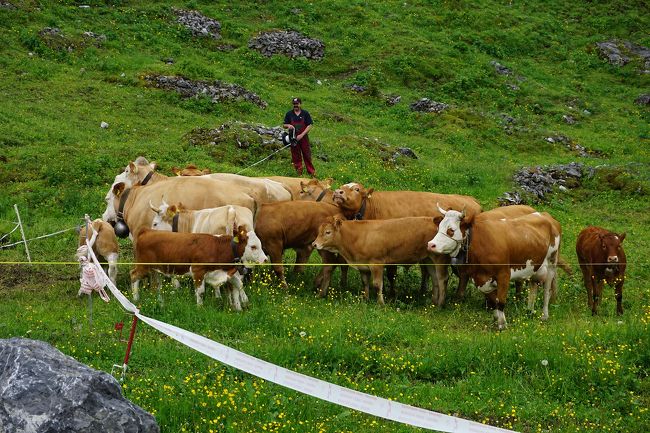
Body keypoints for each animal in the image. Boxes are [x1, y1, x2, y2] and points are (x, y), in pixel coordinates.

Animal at [310, 216, 446, 304]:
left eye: (328, 232)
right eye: (318, 231)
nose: (314, 244)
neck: (358, 236)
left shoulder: (377, 263)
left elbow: (377, 284)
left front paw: (381, 303)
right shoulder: (363, 265)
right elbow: (365, 282)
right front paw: (365, 299)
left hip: (439, 258)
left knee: (442, 279)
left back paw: (440, 304)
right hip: (428, 259)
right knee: (435, 279)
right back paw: (433, 301)